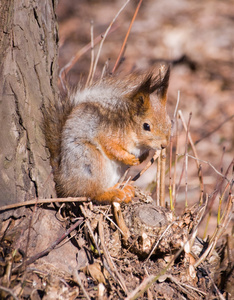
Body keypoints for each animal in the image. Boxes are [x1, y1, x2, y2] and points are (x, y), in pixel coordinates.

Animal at [44, 66, 172, 204]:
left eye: (169, 122)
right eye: (146, 126)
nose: (164, 145)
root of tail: (63, 181)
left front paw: (142, 158)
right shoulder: (104, 133)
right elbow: (110, 147)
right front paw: (129, 158)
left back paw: (123, 189)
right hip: (91, 161)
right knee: (92, 193)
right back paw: (113, 194)